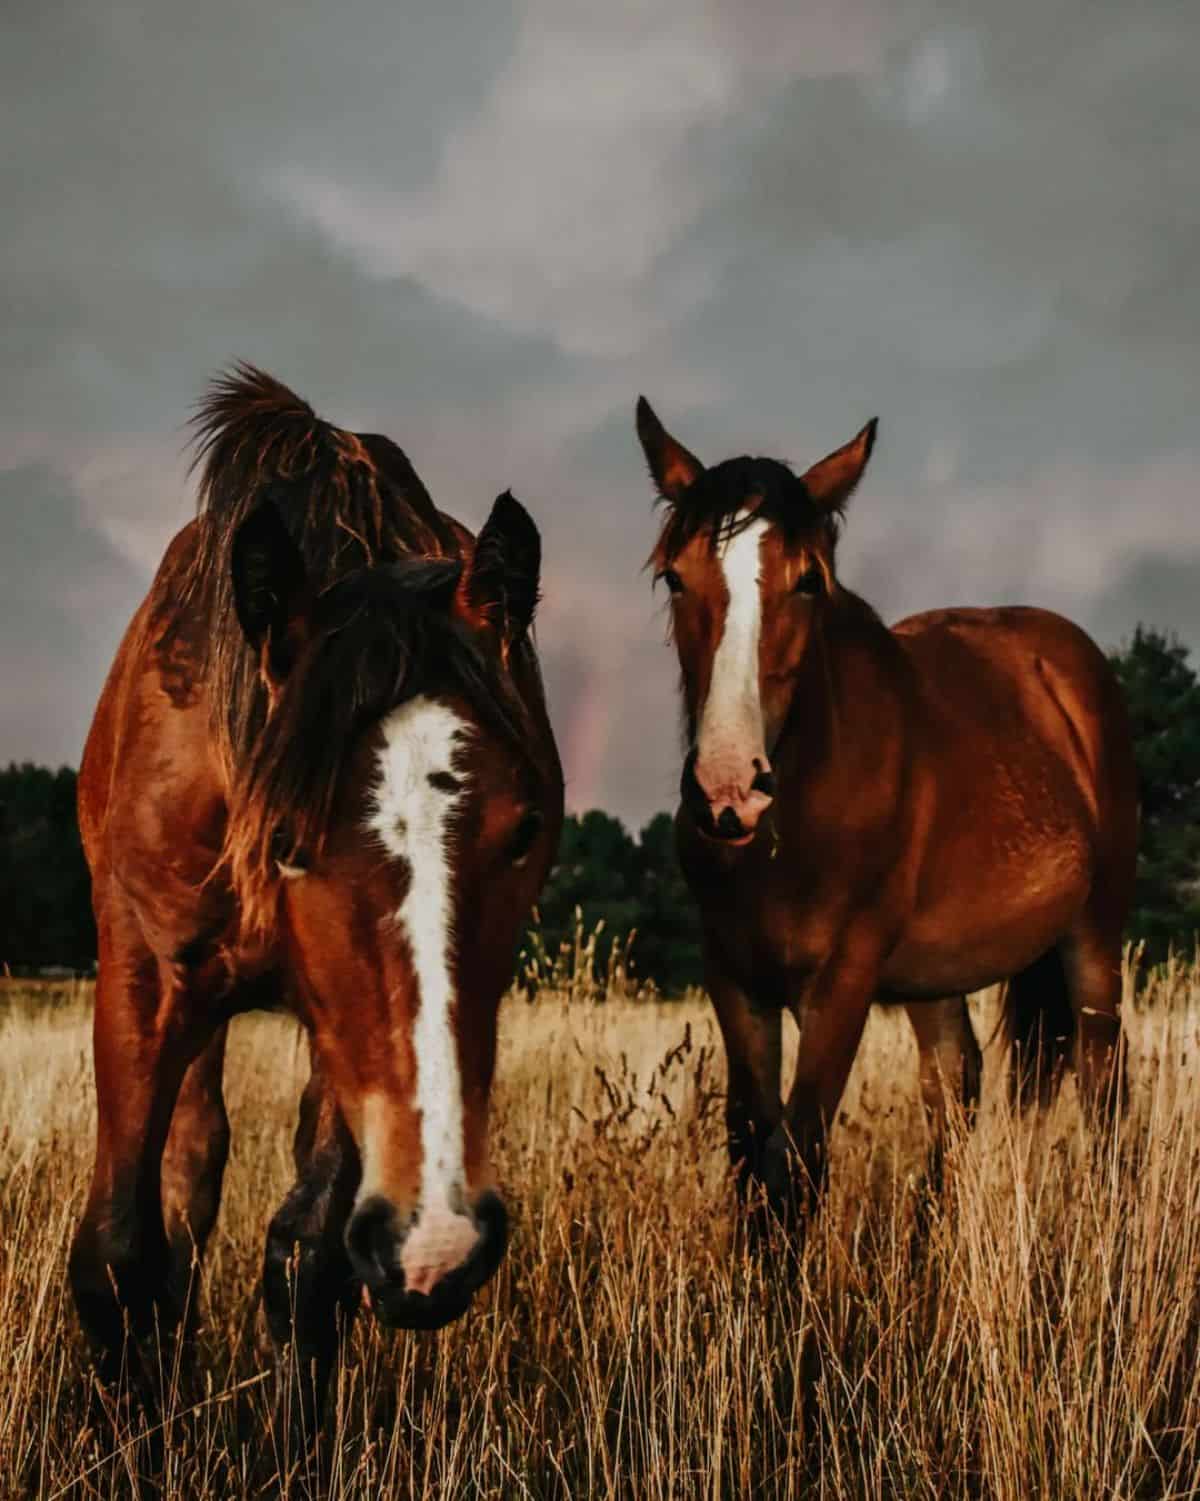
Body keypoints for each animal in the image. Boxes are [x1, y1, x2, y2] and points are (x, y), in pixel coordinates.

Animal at [71, 363, 567, 1428]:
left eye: (526, 831)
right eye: (287, 841)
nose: (438, 1244)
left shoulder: (355, 1034)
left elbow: (307, 1257)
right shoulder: (142, 979)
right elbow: (121, 1252)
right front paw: (133, 1434)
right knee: (191, 1170)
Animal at [636, 396, 1135, 1218]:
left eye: (809, 581)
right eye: (676, 578)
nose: (729, 788)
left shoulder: (842, 984)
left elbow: (797, 1163)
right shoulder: (736, 982)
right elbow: (750, 1158)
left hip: (1093, 939)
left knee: (1104, 1088)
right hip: (937, 981)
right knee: (955, 1089)